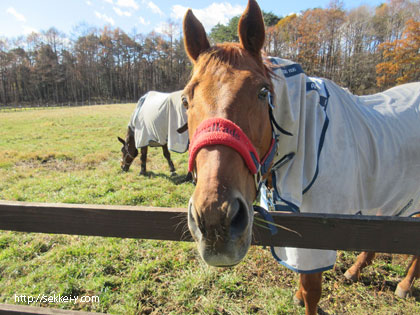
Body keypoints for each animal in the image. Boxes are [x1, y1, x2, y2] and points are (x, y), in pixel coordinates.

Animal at [181, 1, 420, 314]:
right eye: (185, 100)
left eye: (263, 92)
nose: (214, 219)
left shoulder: (317, 235)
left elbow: (312, 290)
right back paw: (355, 270)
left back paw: (404, 285)